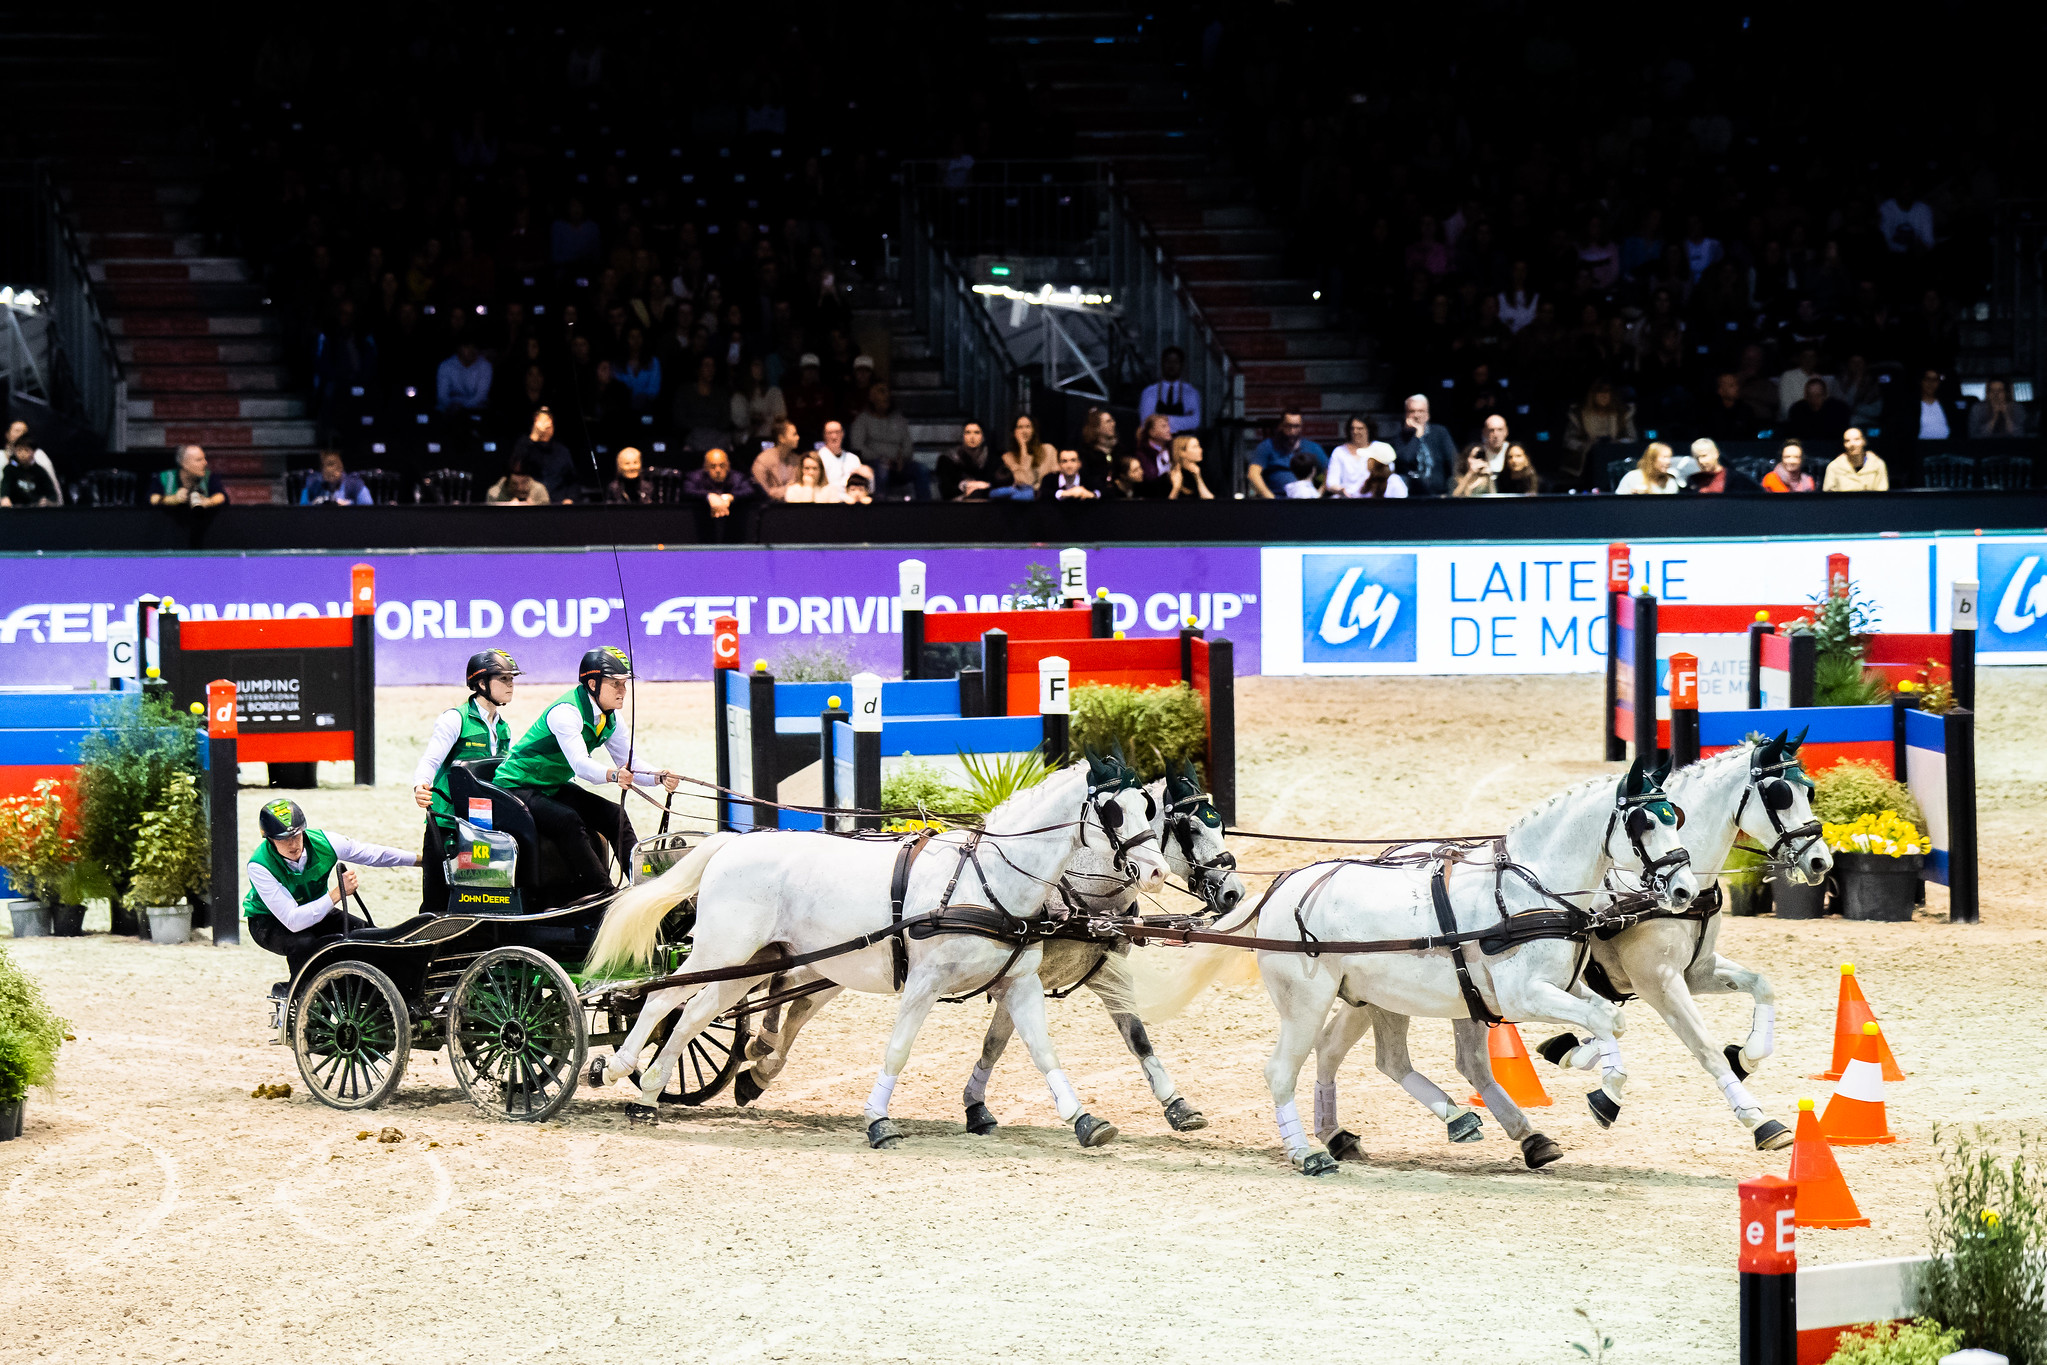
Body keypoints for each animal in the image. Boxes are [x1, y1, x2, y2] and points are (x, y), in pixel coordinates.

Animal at [589, 753, 1170, 1146]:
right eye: (1114, 812)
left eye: (1150, 809)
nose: (1158, 872)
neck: (986, 879)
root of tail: (735, 841)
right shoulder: (924, 985)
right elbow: (898, 1049)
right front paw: (878, 1120)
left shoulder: (1019, 984)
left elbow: (1042, 1050)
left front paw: (1085, 1120)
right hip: (720, 950)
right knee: (662, 1000)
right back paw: (617, 1068)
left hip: (750, 962)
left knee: (694, 1015)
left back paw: (648, 1095)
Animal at [736, 765, 1244, 1137]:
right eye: (1190, 827)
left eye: (1220, 823)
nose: (1235, 892)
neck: (1075, 890)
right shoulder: (1018, 978)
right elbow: (997, 1043)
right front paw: (976, 1107)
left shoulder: (1099, 973)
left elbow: (1136, 1038)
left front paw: (1177, 1105)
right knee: (786, 989)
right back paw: (760, 1052)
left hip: (842, 964)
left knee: (796, 1001)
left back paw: (759, 1065)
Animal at [1244, 765, 1694, 1178]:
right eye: (1645, 823)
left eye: (1676, 816)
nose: (1684, 889)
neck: (1529, 891)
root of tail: (1279, 889)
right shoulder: (1524, 996)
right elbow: (1603, 1019)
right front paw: (1606, 1097)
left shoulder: (1559, 986)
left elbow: (1610, 1018)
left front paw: (1573, 1053)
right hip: (1306, 1004)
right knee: (1282, 1071)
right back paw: (1307, 1153)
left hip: (1382, 998)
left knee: (1375, 1057)